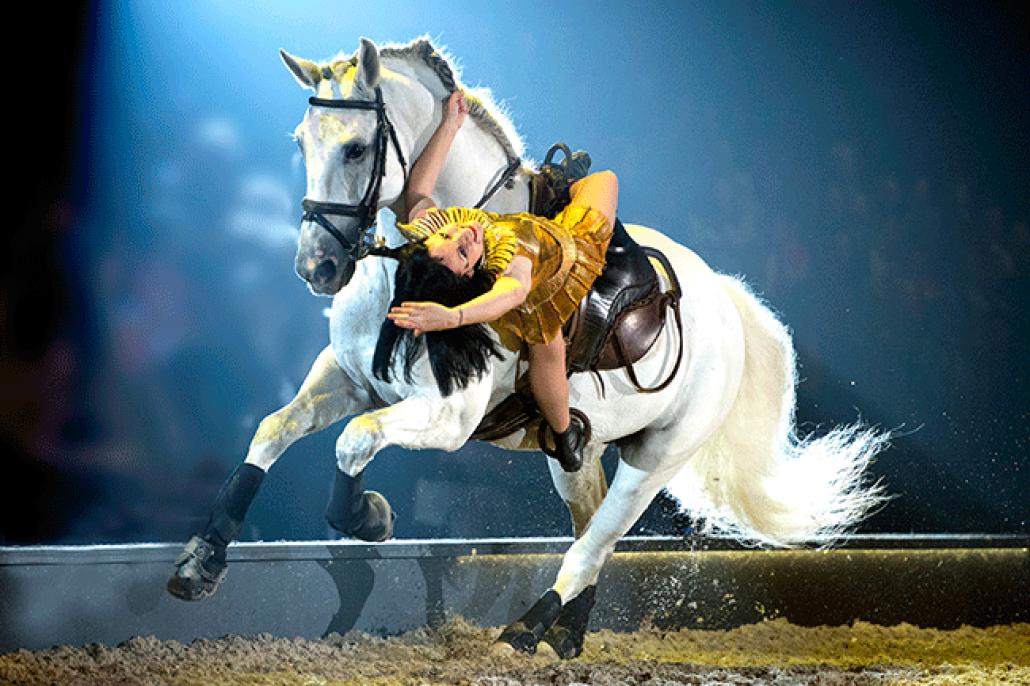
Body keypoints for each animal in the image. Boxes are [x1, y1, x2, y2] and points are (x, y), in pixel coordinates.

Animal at [168, 38, 885, 659]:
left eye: (357, 147)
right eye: (301, 142)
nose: (316, 267)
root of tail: (729, 302)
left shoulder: (449, 416)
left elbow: (354, 441)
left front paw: (367, 517)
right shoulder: (349, 378)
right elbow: (273, 429)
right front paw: (202, 562)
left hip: (657, 458)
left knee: (594, 543)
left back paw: (526, 628)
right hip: (578, 456)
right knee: (589, 524)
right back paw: (565, 637)